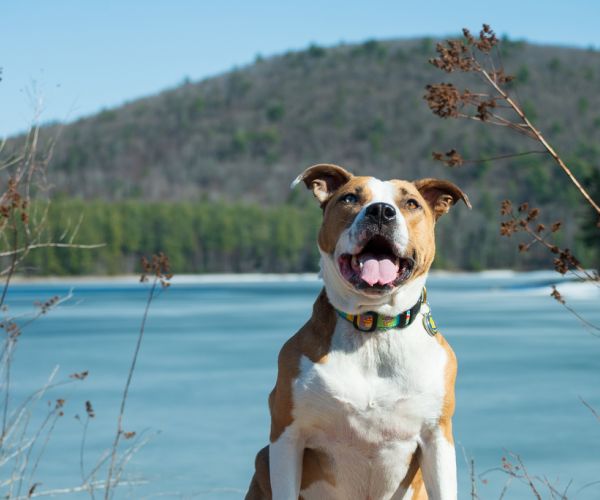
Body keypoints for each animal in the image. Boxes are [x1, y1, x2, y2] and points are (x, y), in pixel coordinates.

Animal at [246, 164, 472, 500]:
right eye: (350, 198)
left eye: (411, 203)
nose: (380, 211)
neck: (372, 328)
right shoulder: (287, 435)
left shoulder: (437, 437)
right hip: (263, 459)